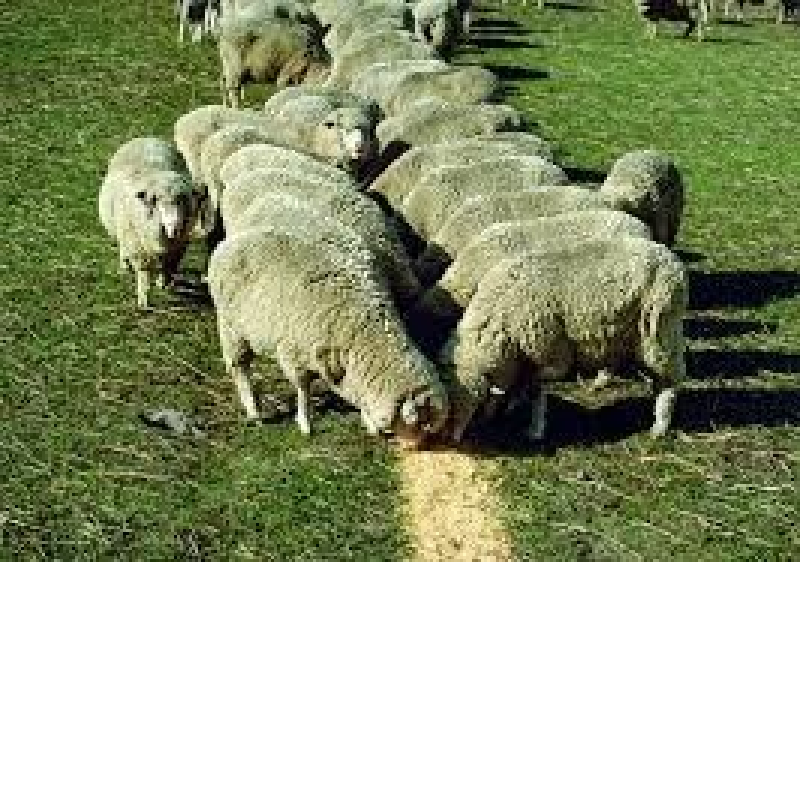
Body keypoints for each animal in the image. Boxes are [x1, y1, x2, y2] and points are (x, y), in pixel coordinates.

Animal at [98, 138, 198, 310]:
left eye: (183, 199)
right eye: (156, 200)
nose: (174, 227)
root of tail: (148, 138)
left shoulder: (178, 247)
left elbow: (169, 266)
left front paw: (162, 283)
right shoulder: (137, 246)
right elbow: (144, 273)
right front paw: (144, 299)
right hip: (124, 231)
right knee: (123, 246)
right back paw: (125, 265)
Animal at [206, 225, 449, 444]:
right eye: (420, 425)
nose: (418, 447)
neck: (364, 330)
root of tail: (228, 243)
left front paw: (368, 420)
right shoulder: (293, 353)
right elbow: (303, 389)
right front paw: (305, 423)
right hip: (232, 328)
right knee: (240, 368)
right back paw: (254, 410)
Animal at [436, 236, 688, 443]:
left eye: (472, 404)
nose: (452, 439)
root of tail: (670, 258)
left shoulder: (549, 355)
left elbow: (536, 390)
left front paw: (535, 429)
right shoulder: (522, 359)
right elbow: (515, 386)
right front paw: (508, 407)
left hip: (660, 329)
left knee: (671, 377)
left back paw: (661, 424)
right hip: (626, 335)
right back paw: (605, 384)